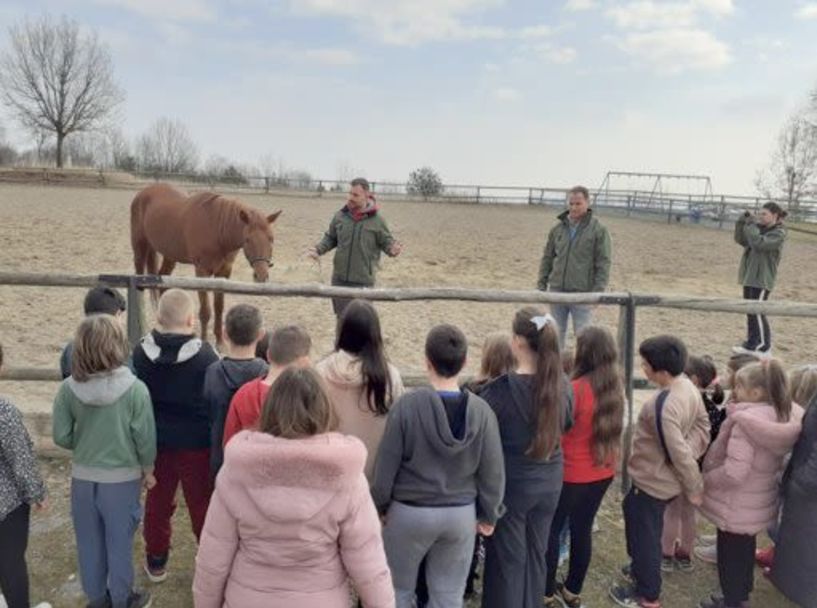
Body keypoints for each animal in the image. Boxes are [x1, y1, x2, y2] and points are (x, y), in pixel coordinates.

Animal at [128, 183, 280, 344]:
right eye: (247, 240)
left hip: (170, 256)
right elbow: (205, 311)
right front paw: (205, 340)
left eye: (271, 238)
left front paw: (220, 342)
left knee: (163, 281)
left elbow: (219, 307)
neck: (217, 230)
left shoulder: (224, 272)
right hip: (139, 246)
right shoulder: (202, 271)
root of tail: (144, 192)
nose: (261, 275)